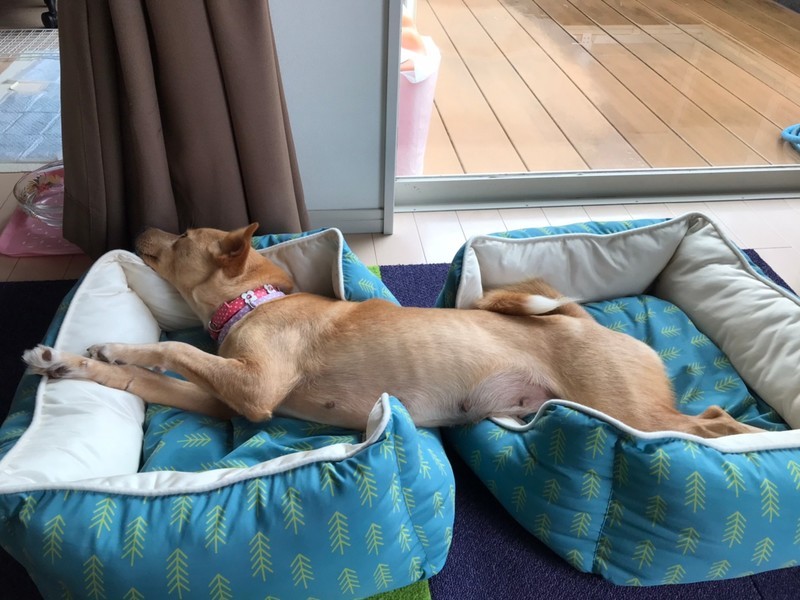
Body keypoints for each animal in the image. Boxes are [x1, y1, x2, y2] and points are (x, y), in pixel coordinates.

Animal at [23, 223, 761, 438]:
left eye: (178, 240)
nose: (139, 228)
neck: (254, 303)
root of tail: (582, 319)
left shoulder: (255, 391)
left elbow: (173, 346)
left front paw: (116, 345)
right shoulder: (223, 398)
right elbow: (141, 379)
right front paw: (72, 361)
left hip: (631, 409)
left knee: (714, 422)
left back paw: (760, 438)